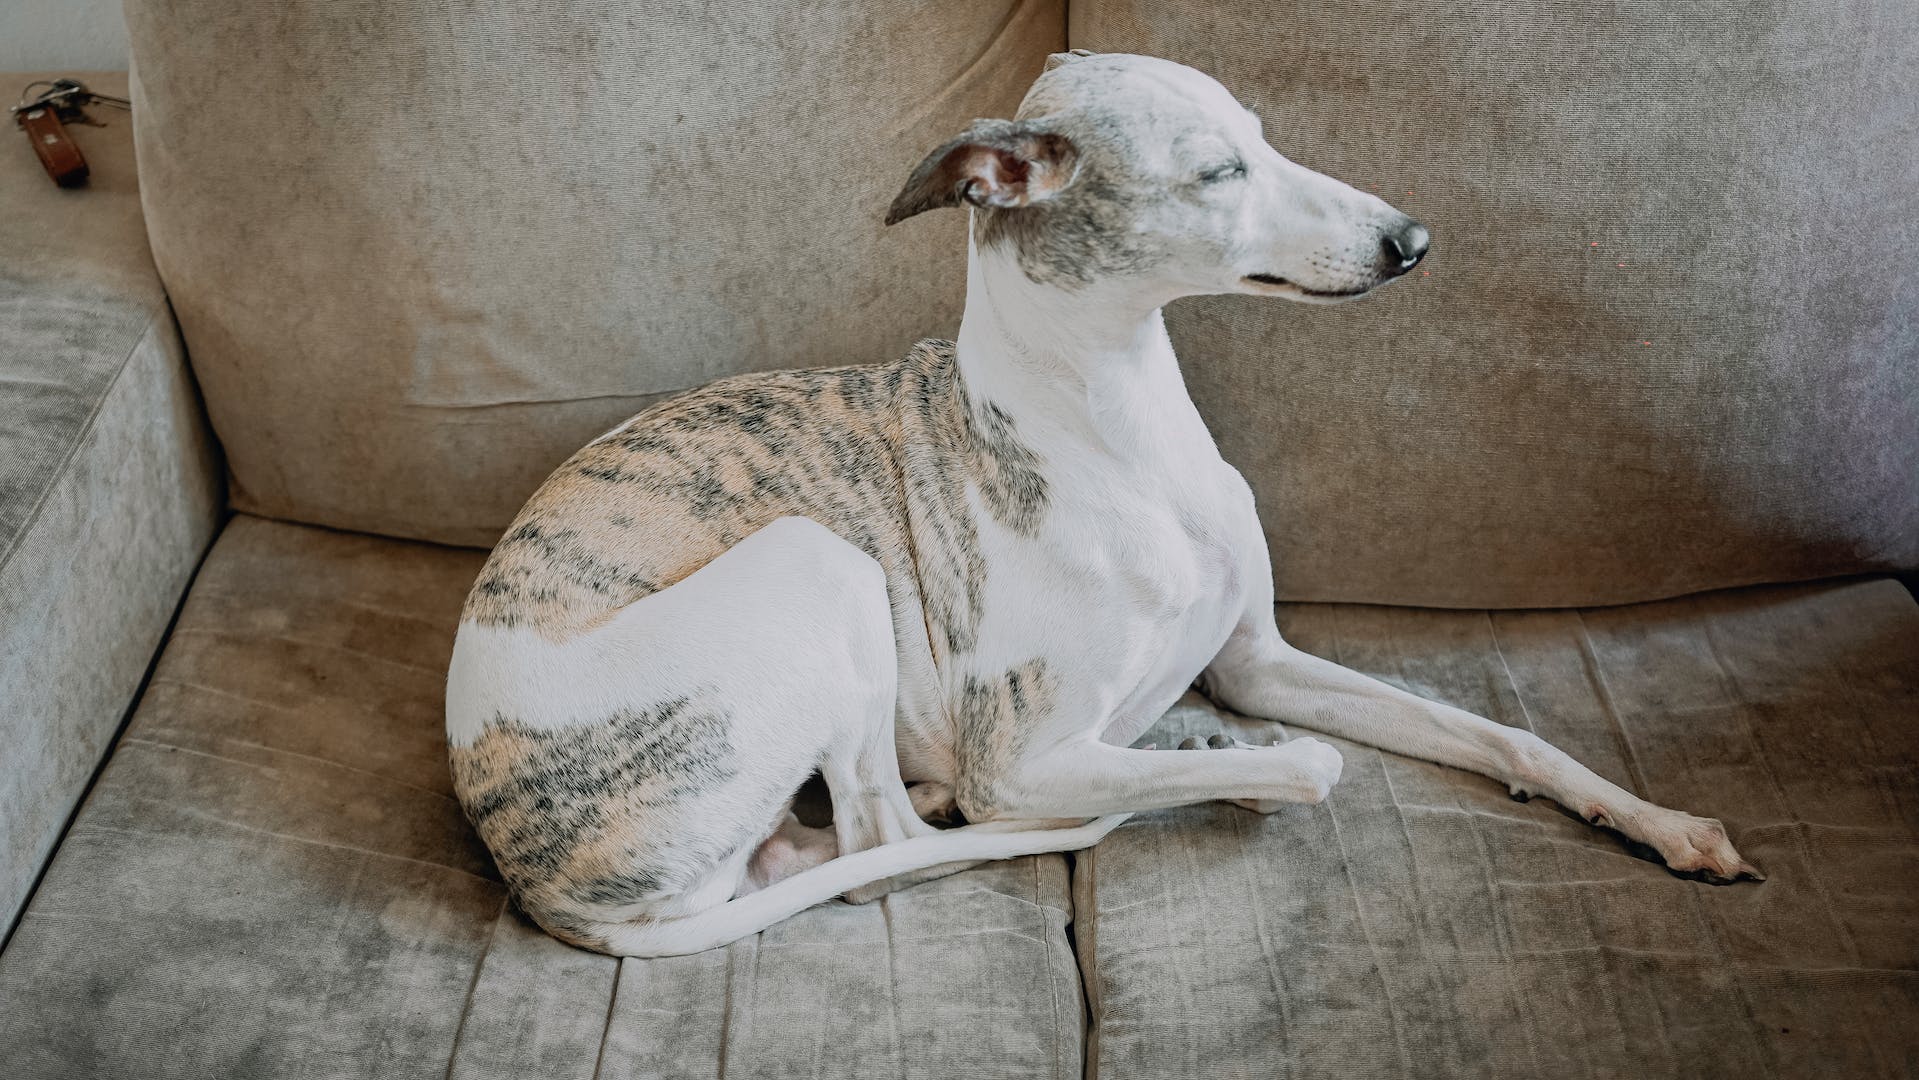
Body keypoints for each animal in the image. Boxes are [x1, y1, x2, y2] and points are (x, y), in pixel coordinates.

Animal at [441, 54, 1757, 959]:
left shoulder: (1259, 661)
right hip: (818, 565)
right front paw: (1227, 765)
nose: (1413, 240)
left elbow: (1498, 733)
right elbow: (1302, 766)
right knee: (885, 853)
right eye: (1217, 173)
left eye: (1263, 138)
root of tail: (534, 876)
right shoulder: (1026, 765)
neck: (1122, 438)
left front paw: (1661, 822)